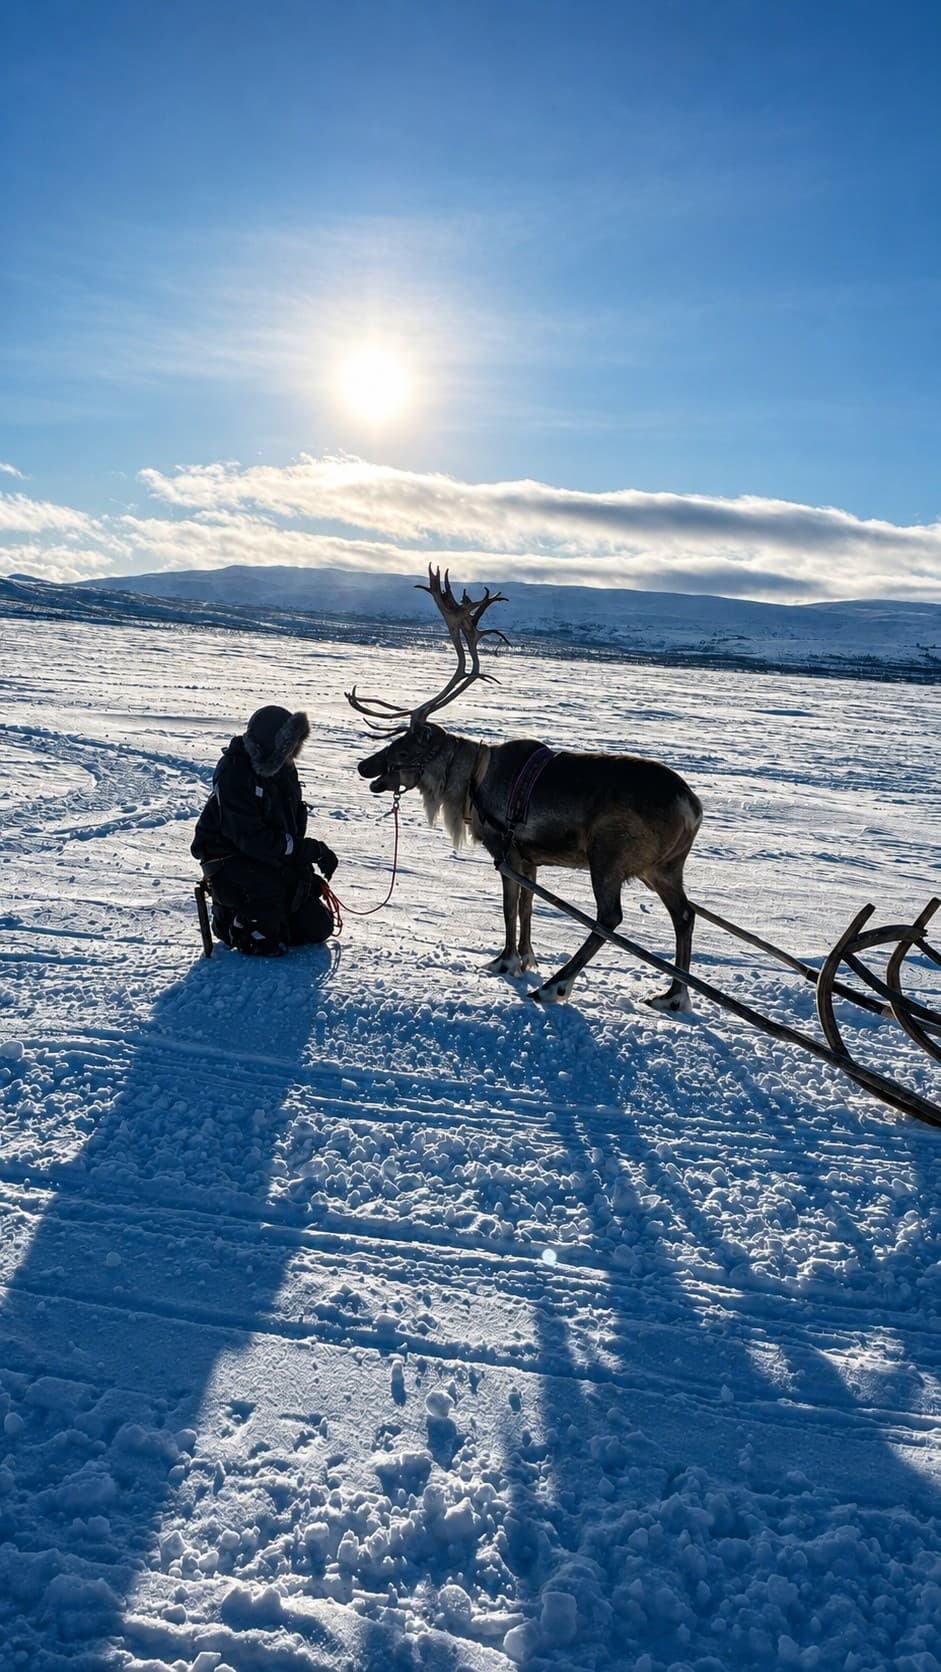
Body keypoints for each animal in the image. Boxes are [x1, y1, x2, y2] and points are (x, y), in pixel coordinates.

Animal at [347, 568, 703, 1009]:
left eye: (403, 747)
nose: (364, 766)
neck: (473, 779)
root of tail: (691, 805)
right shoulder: (532, 858)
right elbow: (528, 908)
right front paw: (527, 957)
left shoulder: (506, 852)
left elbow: (508, 907)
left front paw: (505, 961)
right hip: (664, 868)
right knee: (684, 914)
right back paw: (674, 995)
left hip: (609, 859)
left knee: (610, 918)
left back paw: (556, 985)